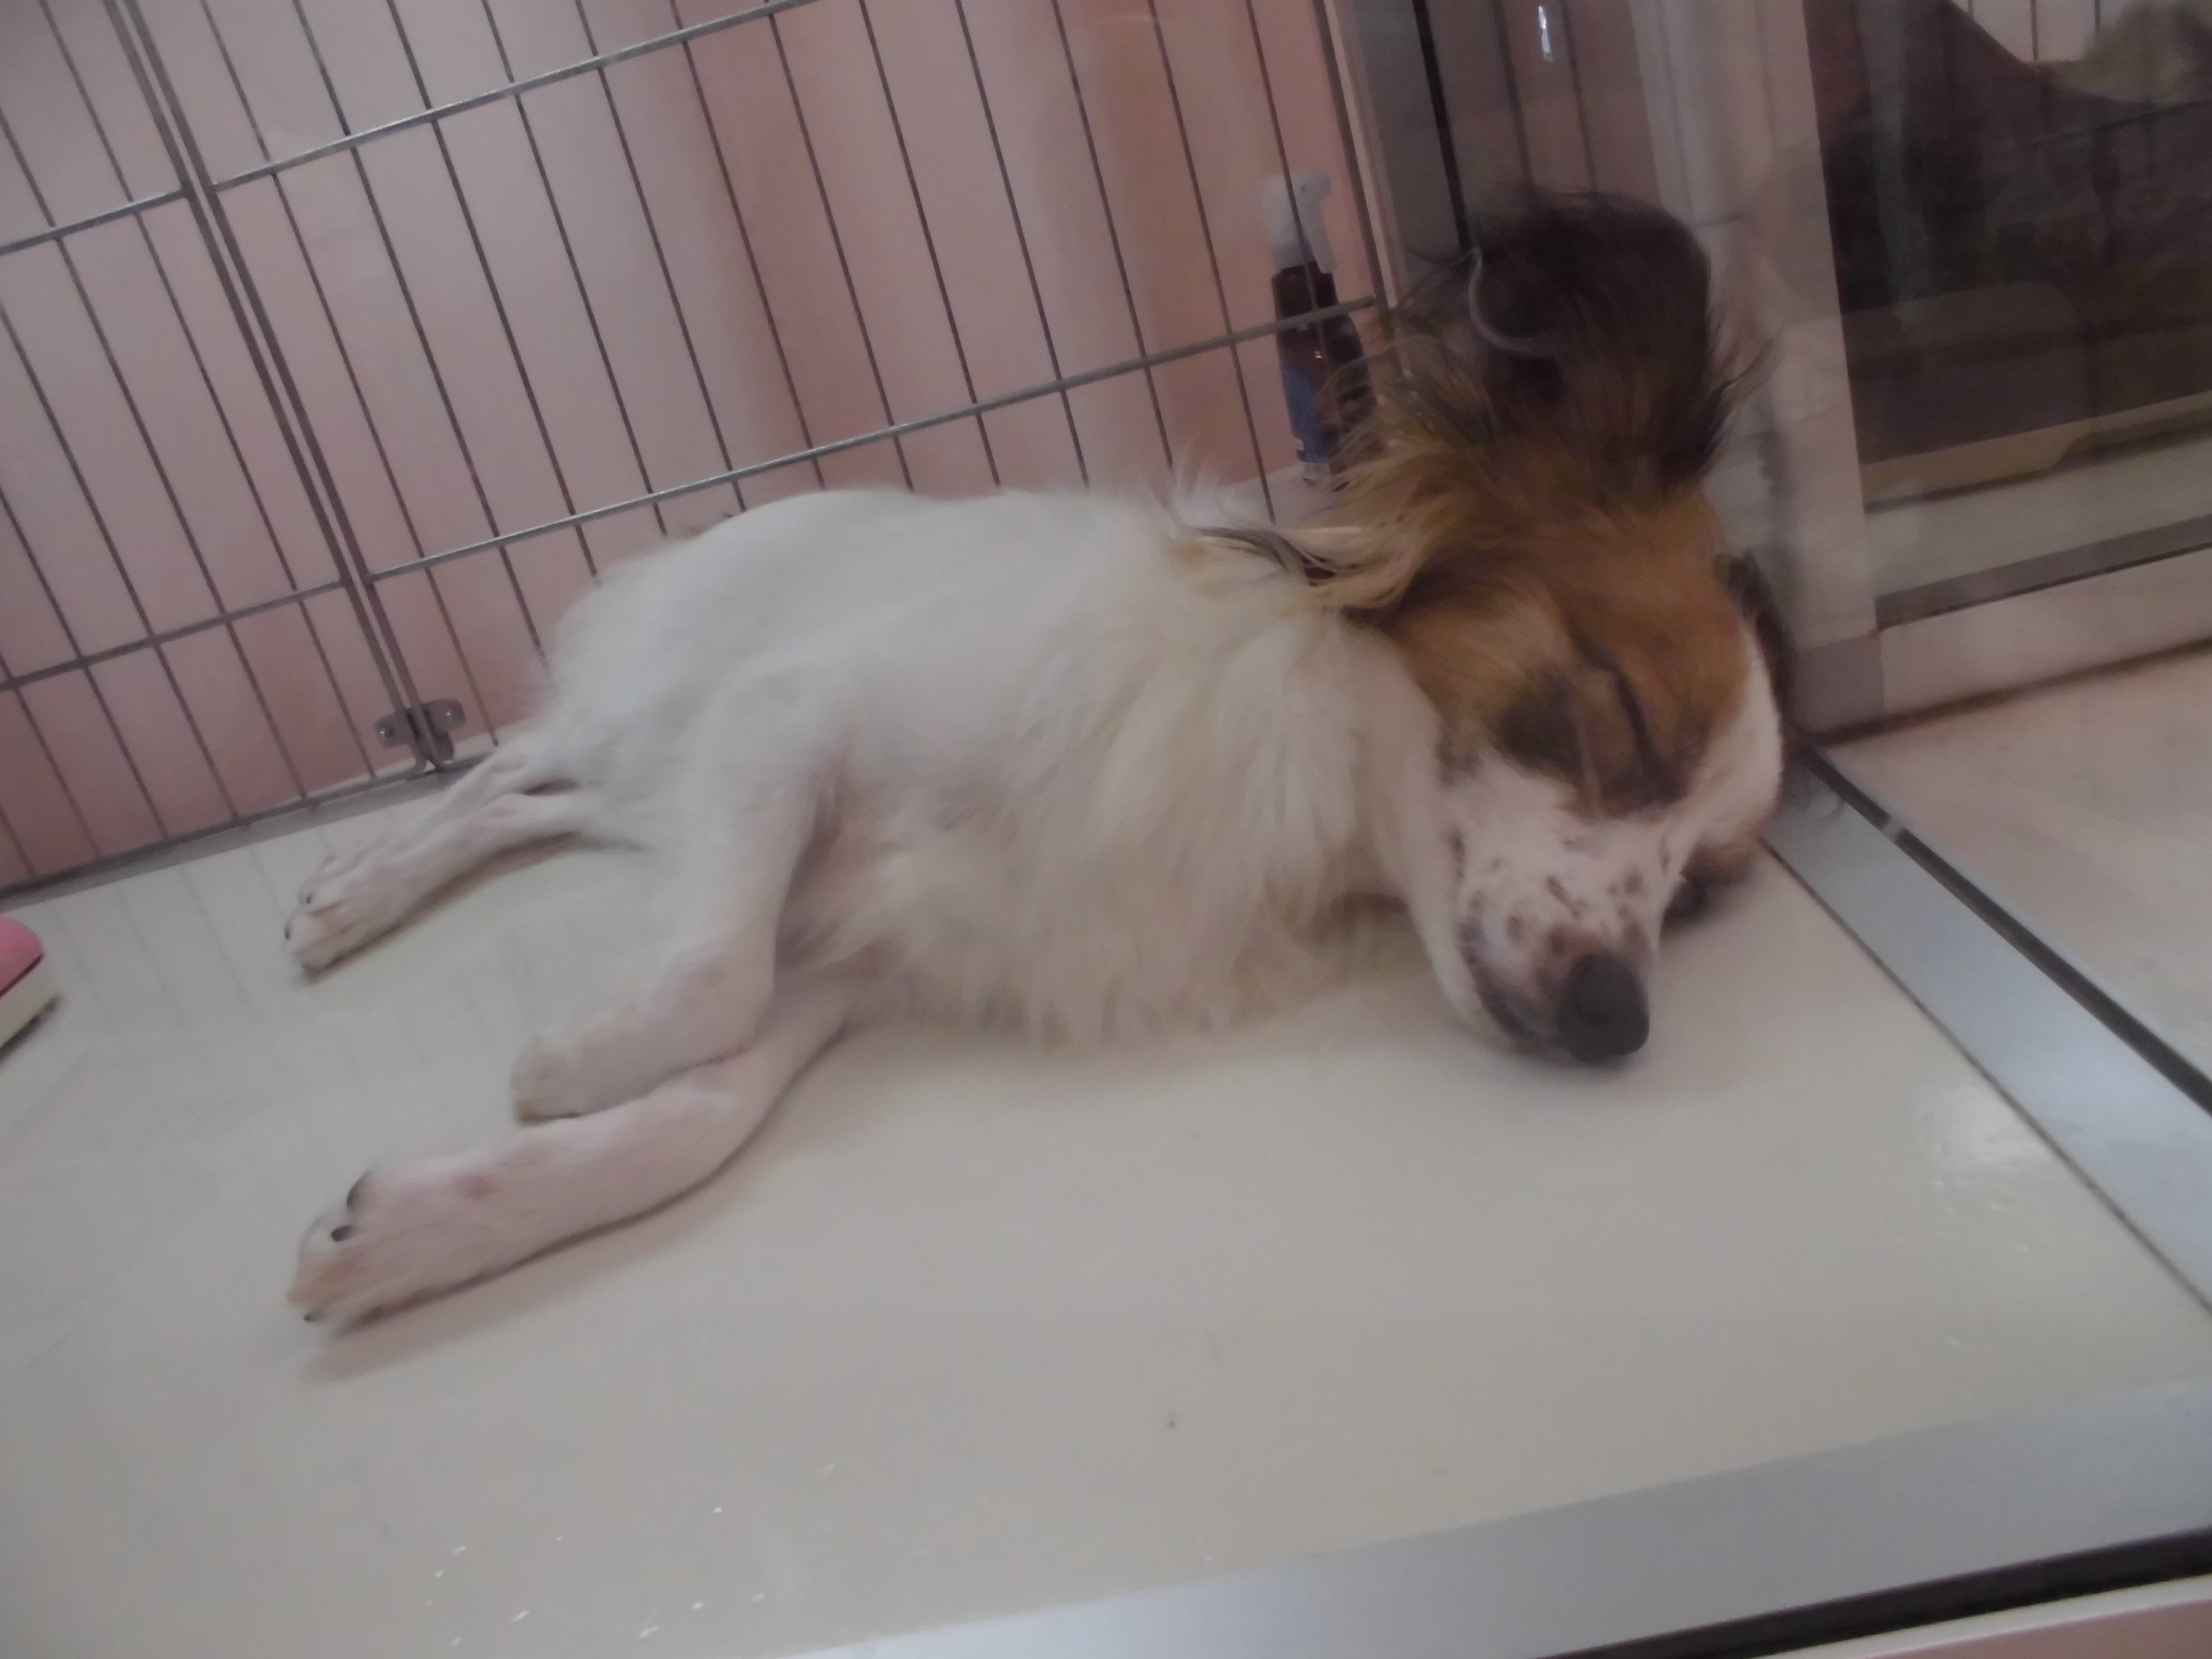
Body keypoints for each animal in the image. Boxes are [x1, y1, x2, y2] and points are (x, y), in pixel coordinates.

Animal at [286, 196, 1788, 1324]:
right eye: (1611, 718)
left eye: (1697, 898)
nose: (1616, 1018)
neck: (1296, 770)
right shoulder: (785, 722)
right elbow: (709, 980)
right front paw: (570, 1065)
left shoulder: (862, 956)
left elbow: (702, 1112)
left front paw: (425, 1224)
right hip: (657, 713)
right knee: (503, 772)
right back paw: (353, 888)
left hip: (656, 774)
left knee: (536, 803)